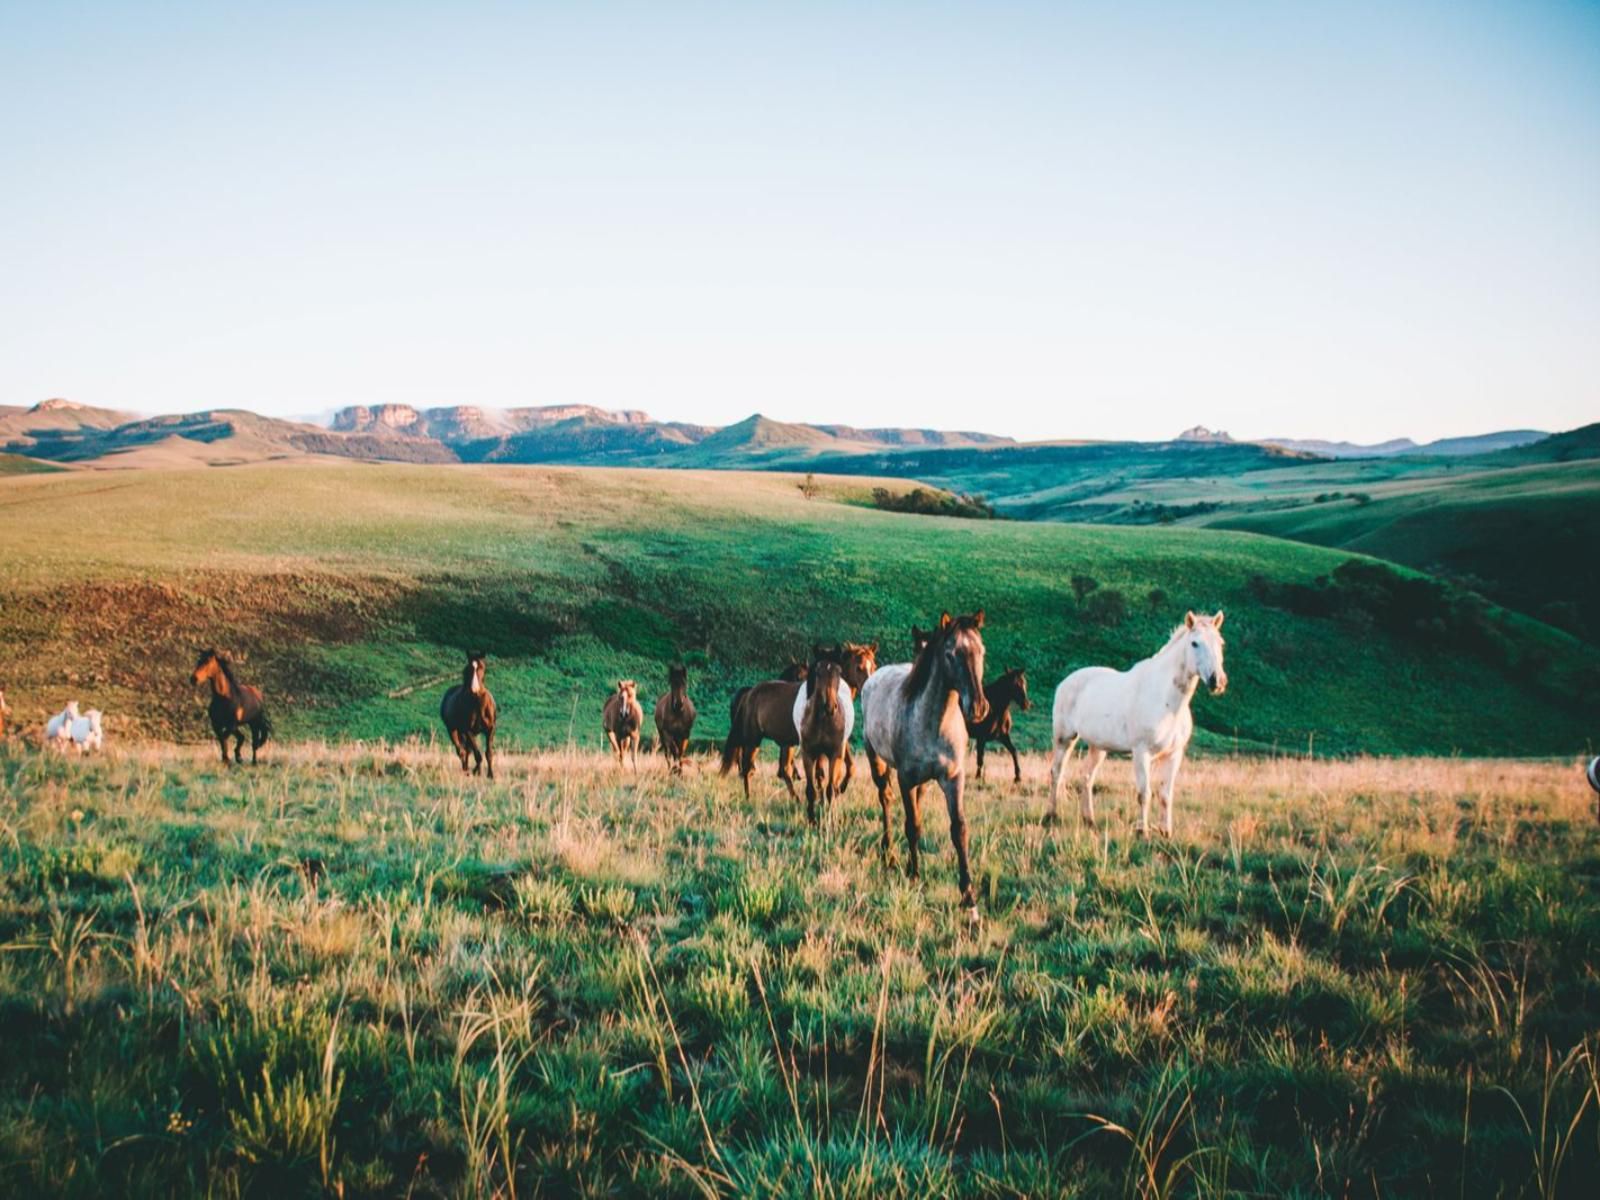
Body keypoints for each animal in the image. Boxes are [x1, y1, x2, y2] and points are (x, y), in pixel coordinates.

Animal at [438, 652, 492, 784]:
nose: (474, 689)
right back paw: (466, 771)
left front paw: (490, 775)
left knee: (467, 751)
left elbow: (488, 753)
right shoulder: (468, 731)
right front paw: (475, 772)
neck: (478, 704)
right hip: (453, 730)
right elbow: (478, 755)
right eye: (468, 668)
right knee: (461, 751)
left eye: (482, 667)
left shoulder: (490, 730)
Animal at [864, 611, 985, 921]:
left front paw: (969, 899)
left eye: (981, 651)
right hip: (876, 761)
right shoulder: (906, 779)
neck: (934, 721)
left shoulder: (953, 779)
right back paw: (888, 853)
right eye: (951, 654)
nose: (978, 707)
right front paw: (914, 875)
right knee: (885, 798)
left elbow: (959, 829)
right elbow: (913, 825)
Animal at [1043, 611, 1228, 838]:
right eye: (1194, 643)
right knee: (1056, 773)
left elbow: (1165, 794)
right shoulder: (1141, 752)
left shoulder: (1174, 754)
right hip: (1065, 738)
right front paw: (1143, 832)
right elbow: (1144, 793)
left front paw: (1166, 832)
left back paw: (1089, 821)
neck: (1167, 701)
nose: (1217, 681)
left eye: (1220, 643)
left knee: (1086, 777)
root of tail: (1065, 682)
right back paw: (1050, 816)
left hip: (1098, 747)